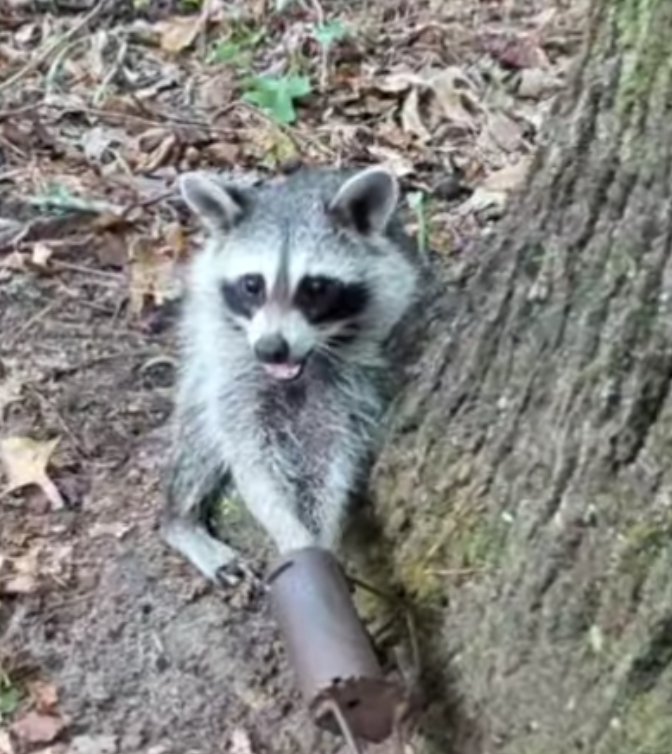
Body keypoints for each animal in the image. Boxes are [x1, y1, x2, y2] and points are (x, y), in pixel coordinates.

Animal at [161, 165, 421, 586]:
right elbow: (249, 456)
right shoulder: (236, 367)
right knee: (199, 432)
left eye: (315, 288)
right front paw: (289, 531)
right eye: (252, 284)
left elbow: (332, 458)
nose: (271, 348)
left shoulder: (353, 380)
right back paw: (178, 517)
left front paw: (321, 536)